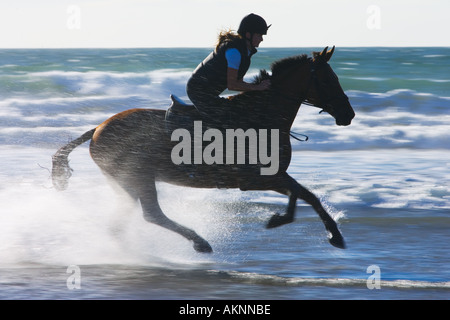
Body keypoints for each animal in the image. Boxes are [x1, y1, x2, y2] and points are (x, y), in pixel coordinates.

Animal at [51, 46, 356, 254]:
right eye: (328, 80)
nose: (348, 114)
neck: (263, 116)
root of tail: (98, 128)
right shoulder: (258, 178)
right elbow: (299, 196)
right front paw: (278, 220)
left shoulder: (272, 176)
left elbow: (308, 196)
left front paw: (335, 236)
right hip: (138, 176)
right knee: (152, 214)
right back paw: (200, 243)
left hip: (125, 182)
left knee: (126, 218)